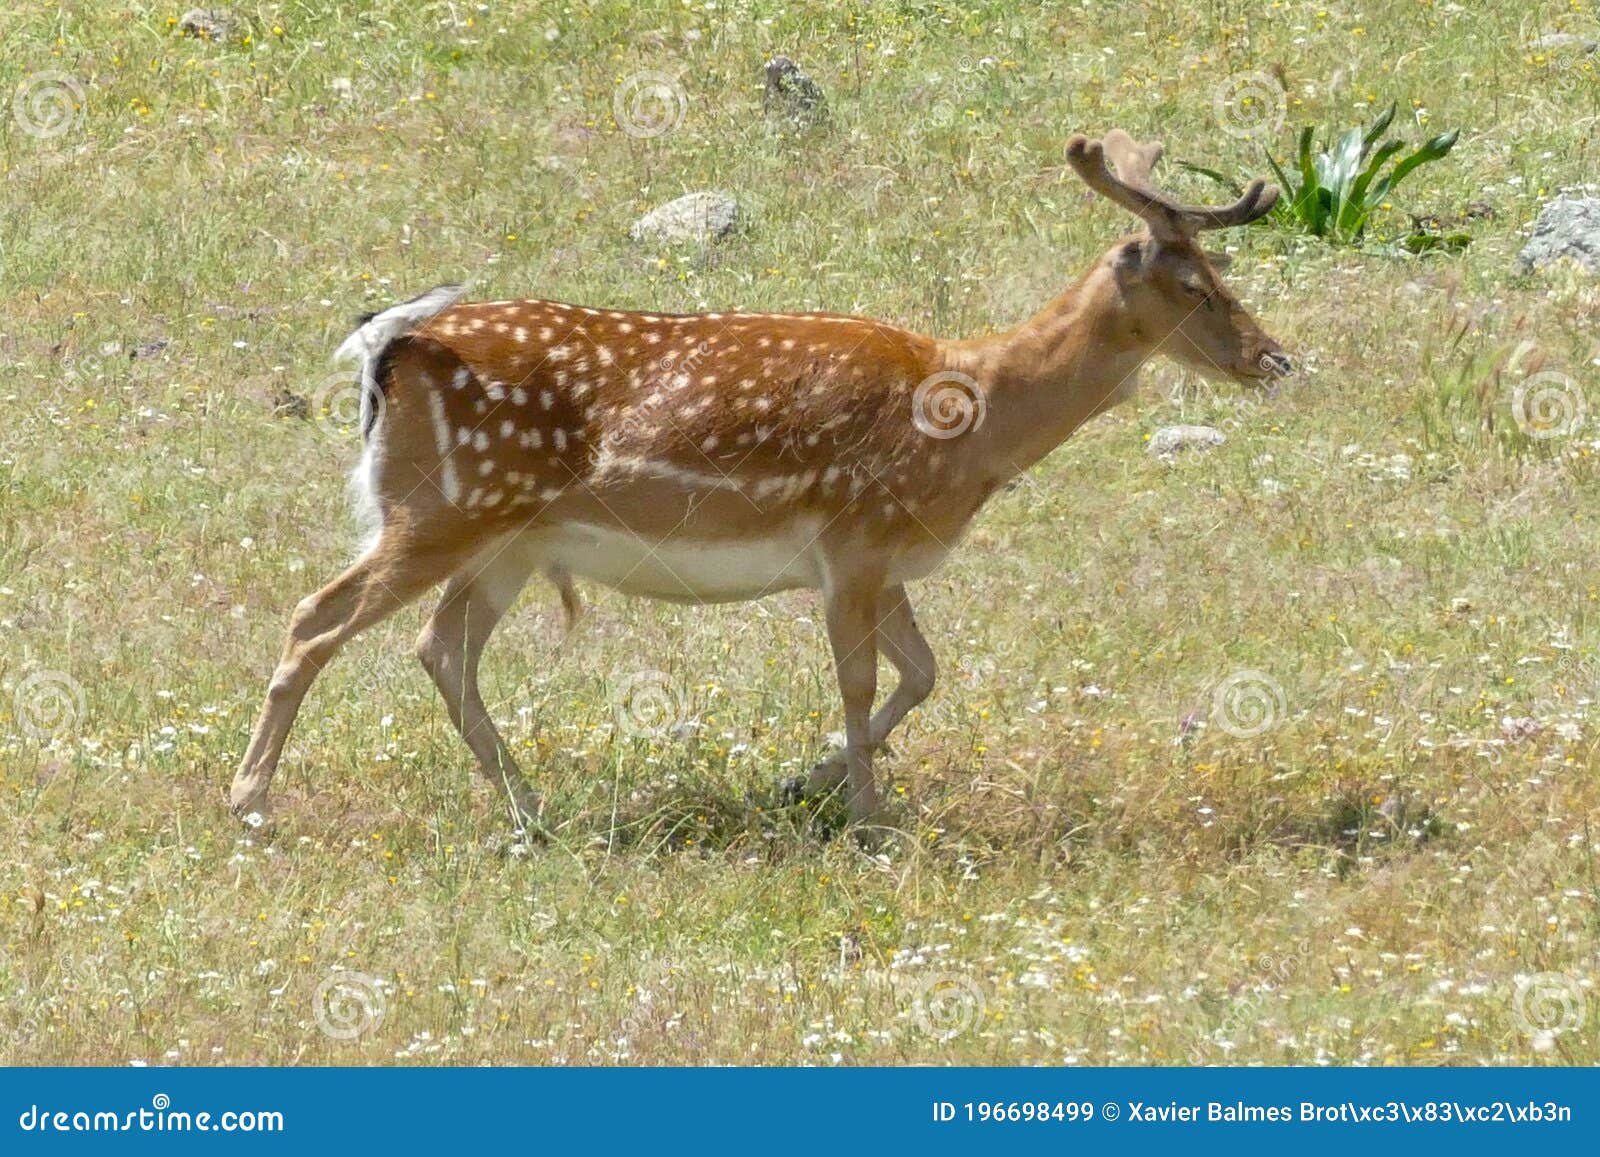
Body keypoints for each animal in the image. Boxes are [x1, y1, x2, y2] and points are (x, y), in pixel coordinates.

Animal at [232, 131, 1292, 838]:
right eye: (1195, 286)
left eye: (1222, 270)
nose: (1274, 358)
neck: (974, 418)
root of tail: (390, 344)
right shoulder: (854, 537)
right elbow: (862, 679)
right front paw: (866, 818)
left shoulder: (886, 558)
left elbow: (924, 672)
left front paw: (806, 784)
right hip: (441, 505)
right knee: (319, 615)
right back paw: (251, 802)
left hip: (509, 538)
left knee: (439, 646)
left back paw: (531, 808)